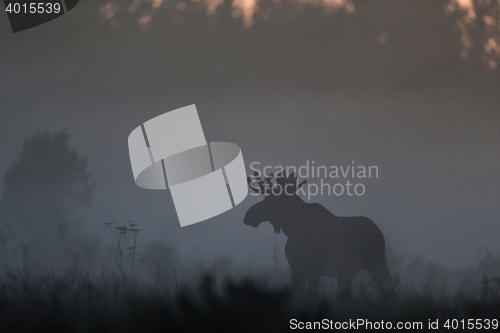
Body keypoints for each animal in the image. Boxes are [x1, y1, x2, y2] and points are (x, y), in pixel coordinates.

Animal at [245, 172, 394, 300]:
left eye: (268, 199)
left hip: (364, 264)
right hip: (364, 266)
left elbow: (309, 295)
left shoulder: (309, 268)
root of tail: (378, 234)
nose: (248, 215)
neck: (291, 227)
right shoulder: (298, 267)